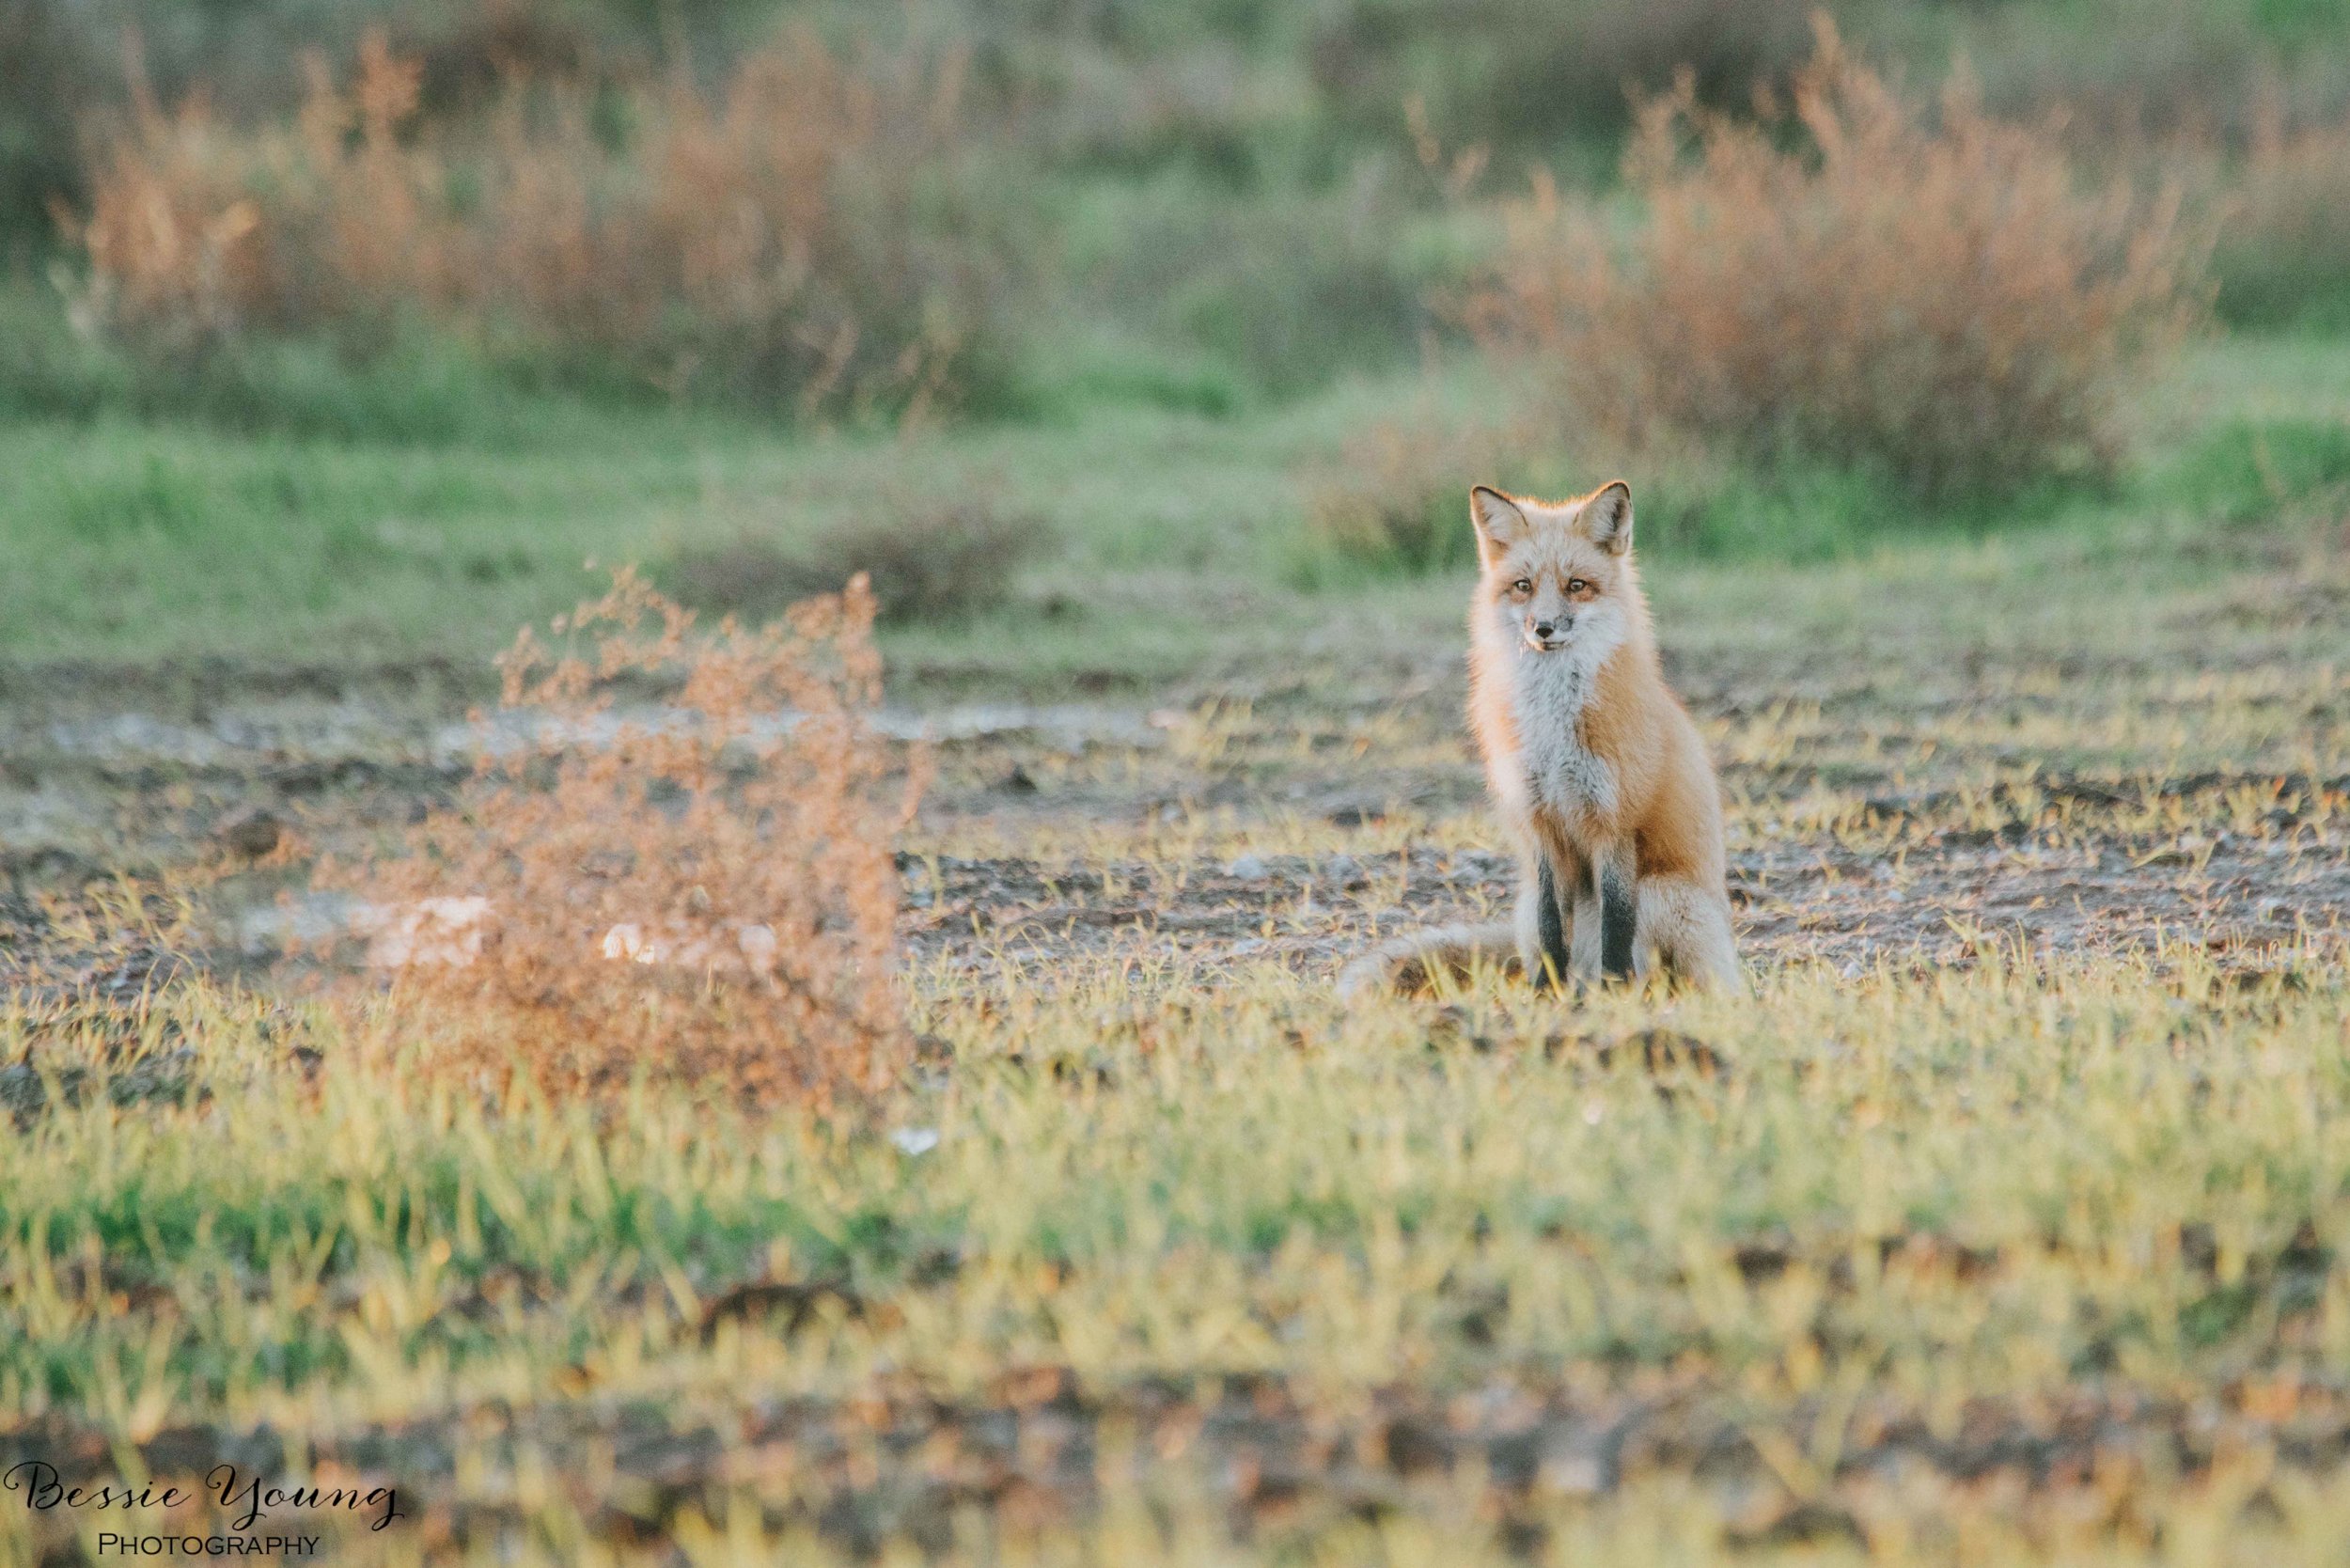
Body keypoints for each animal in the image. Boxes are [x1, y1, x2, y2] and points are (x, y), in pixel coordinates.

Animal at [1344, 472, 1748, 1001]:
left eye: (1576, 585)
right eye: (1523, 586)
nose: (1544, 628)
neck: (1554, 732)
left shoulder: (1614, 823)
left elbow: (1617, 926)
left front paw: (1616, 994)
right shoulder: (1539, 823)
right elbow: (1550, 926)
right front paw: (1543, 997)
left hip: (1663, 894)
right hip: (1528, 903)